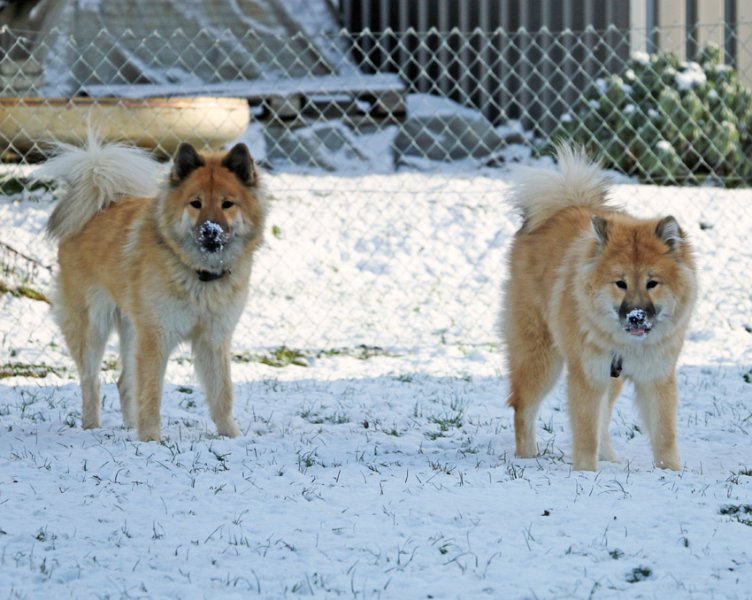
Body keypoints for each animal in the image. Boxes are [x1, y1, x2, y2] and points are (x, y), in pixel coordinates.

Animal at [39, 137, 268, 446]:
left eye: (227, 204)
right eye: (196, 204)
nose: (210, 231)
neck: (199, 274)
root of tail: (99, 203)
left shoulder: (213, 337)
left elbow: (222, 392)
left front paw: (231, 436)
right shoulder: (156, 337)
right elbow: (151, 394)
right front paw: (150, 440)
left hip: (131, 328)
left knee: (123, 382)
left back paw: (128, 427)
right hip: (92, 325)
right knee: (90, 379)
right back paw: (92, 427)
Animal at [502, 145, 696, 468]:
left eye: (652, 283)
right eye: (620, 283)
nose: (636, 317)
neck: (628, 343)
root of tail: (565, 205)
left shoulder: (656, 376)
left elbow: (664, 436)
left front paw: (671, 472)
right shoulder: (587, 376)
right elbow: (585, 433)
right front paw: (585, 473)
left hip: (609, 378)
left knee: (603, 420)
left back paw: (609, 459)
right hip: (540, 358)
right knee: (523, 408)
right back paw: (527, 458)